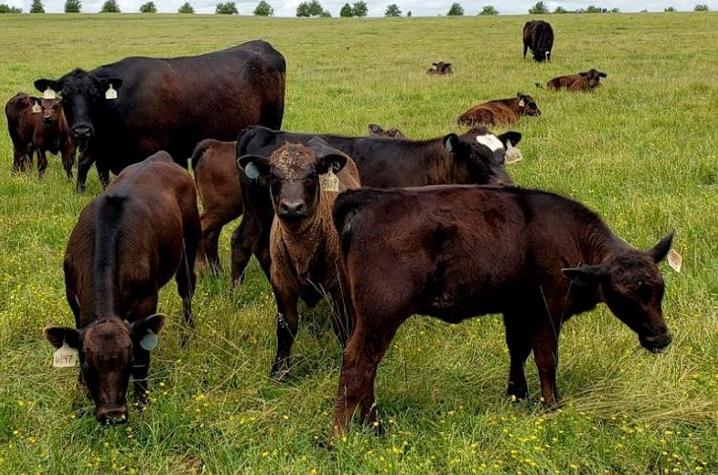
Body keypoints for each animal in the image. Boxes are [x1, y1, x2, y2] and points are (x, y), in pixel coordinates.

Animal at [33, 39, 286, 192]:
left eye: (95, 96)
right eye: (64, 97)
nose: (82, 130)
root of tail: (261, 44)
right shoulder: (100, 149)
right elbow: (89, 167)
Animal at [43, 152, 201, 424]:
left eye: (129, 361)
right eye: (87, 364)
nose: (113, 415)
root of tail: (161, 157)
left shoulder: (147, 300)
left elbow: (144, 357)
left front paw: (142, 403)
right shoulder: (73, 300)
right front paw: (80, 396)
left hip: (189, 244)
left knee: (187, 289)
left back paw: (187, 332)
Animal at [233, 124, 520, 286]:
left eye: (502, 155)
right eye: (474, 154)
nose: (505, 183)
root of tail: (260, 131)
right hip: (264, 211)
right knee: (245, 242)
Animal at [239, 139, 362, 384]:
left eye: (312, 174)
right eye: (273, 175)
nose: (292, 207)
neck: (302, 250)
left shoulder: (339, 284)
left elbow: (341, 324)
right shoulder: (281, 282)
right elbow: (286, 326)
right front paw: (279, 372)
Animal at [332, 185, 676, 436]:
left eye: (660, 288)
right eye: (623, 294)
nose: (660, 338)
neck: (571, 237)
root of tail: (369, 198)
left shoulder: (516, 308)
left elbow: (518, 350)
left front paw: (516, 394)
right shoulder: (548, 309)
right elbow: (546, 359)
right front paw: (552, 405)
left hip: (362, 316)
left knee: (369, 366)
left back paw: (374, 426)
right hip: (381, 316)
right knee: (358, 362)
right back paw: (342, 435)